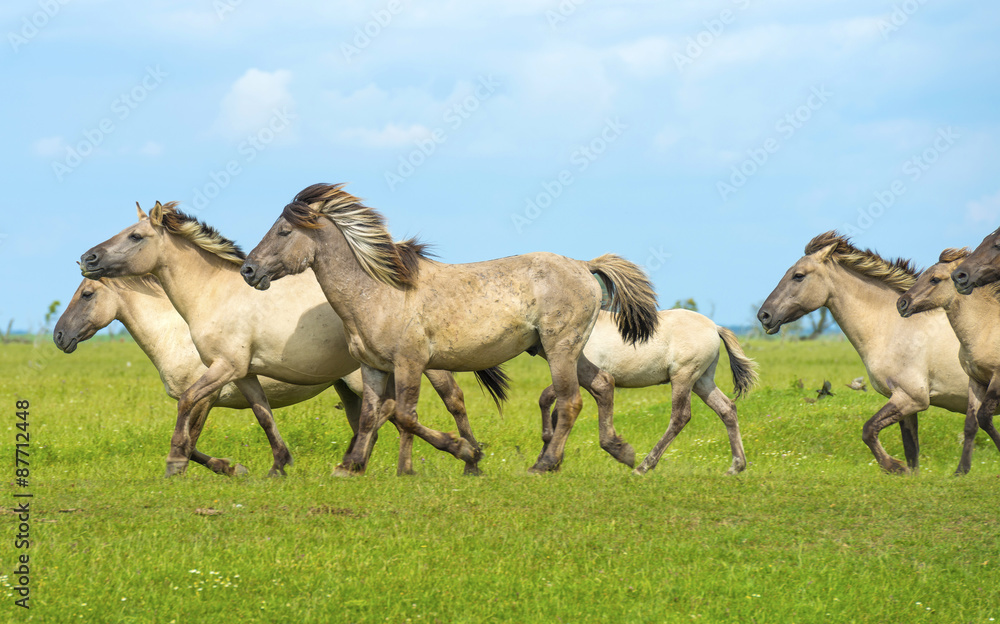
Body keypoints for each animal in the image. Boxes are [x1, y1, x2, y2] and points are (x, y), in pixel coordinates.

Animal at [79, 202, 505, 477]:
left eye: (135, 236)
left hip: (412, 366)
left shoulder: (222, 369)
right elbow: (263, 415)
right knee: (381, 414)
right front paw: (277, 465)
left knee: (444, 402)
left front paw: (177, 463)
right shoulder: (244, 373)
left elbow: (189, 407)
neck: (213, 294)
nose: (87, 259)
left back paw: (464, 458)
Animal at [240, 183, 659, 475]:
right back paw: (622, 452)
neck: (378, 292)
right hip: (556, 349)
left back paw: (545, 464)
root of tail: (583, 264)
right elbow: (372, 414)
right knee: (602, 384)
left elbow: (405, 415)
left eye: (283, 231)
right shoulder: (373, 367)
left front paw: (464, 453)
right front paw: (352, 466)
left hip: (560, 349)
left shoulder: (410, 363)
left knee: (571, 401)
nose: (248, 270)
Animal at [538, 309, 757, 476]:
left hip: (683, 378)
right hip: (702, 382)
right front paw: (551, 460)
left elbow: (547, 399)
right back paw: (736, 467)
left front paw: (548, 455)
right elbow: (554, 407)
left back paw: (643, 467)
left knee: (680, 417)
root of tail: (714, 327)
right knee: (727, 409)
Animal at [757, 231, 972, 474]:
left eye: (798, 276)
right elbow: (911, 452)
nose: (764, 315)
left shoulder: (911, 398)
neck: (897, 328)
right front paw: (907, 474)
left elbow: (868, 430)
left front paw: (894, 467)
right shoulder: (907, 404)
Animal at [896, 248, 1000, 473]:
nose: (902, 303)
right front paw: (961, 471)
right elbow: (971, 423)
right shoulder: (976, 380)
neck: (985, 328)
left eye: (935, 279)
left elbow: (984, 417)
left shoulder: (997, 379)